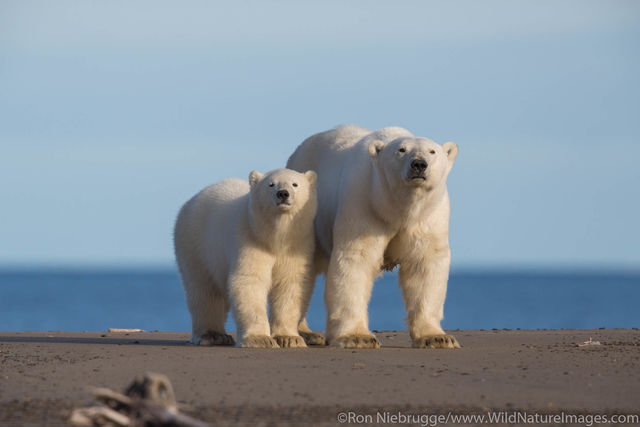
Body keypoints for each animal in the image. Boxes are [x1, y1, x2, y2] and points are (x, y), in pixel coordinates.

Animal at [172, 167, 318, 348]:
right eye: (271, 184)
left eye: (295, 184)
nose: (283, 193)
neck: (274, 238)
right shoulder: (249, 239)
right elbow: (250, 281)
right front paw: (260, 338)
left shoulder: (297, 246)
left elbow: (290, 284)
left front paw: (289, 338)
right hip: (195, 244)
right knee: (204, 291)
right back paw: (212, 335)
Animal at [286, 125, 460, 350]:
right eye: (401, 150)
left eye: (432, 151)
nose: (419, 164)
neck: (396, 208)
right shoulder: (363, 205)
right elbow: (356, 261)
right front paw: (357, 336)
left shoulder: (428, 217)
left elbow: (424, 266)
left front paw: (436, 337)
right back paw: (306, 333)